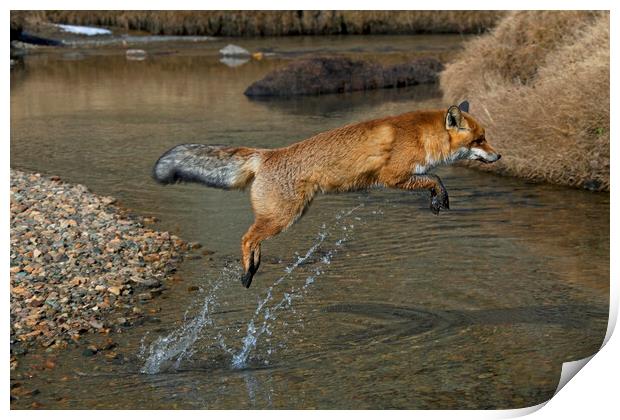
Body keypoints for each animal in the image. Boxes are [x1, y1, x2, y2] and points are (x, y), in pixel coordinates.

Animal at [153, 101, 502, 288]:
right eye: (480, 140)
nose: (499, 156)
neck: (421, 135)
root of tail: (268, 155)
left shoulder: (403, 177)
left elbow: (434, 178)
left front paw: (436, 202)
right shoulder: (392, 177)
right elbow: (436, 178)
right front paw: (439, 199)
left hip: (286, 215)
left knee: (254, 239)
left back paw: (254, 265)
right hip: (283, 216)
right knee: (246, 237)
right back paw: (248, 272)